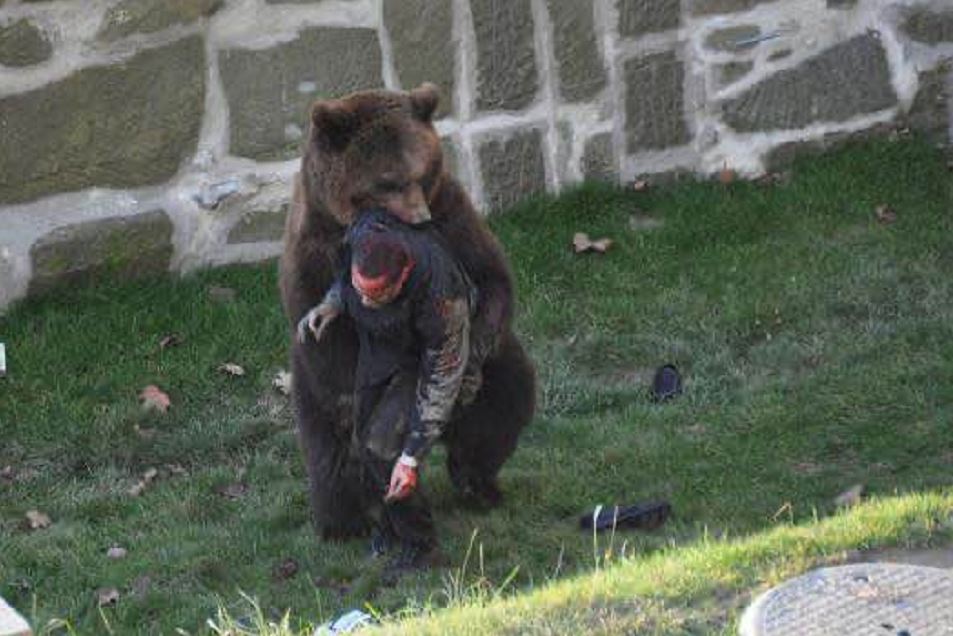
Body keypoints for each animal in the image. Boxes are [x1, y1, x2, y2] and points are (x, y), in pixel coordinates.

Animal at [280, 83, 536, 540]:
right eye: (387, 180)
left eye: (421, 172)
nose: (419, 218)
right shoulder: (315, 249)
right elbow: (332, 337)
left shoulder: (451, 213)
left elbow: (491, 277)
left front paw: (467, 369)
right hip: (310, 392)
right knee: (331, 455)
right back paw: (346, 520)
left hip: (499, 372)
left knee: (505, 402)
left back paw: (475, 481)